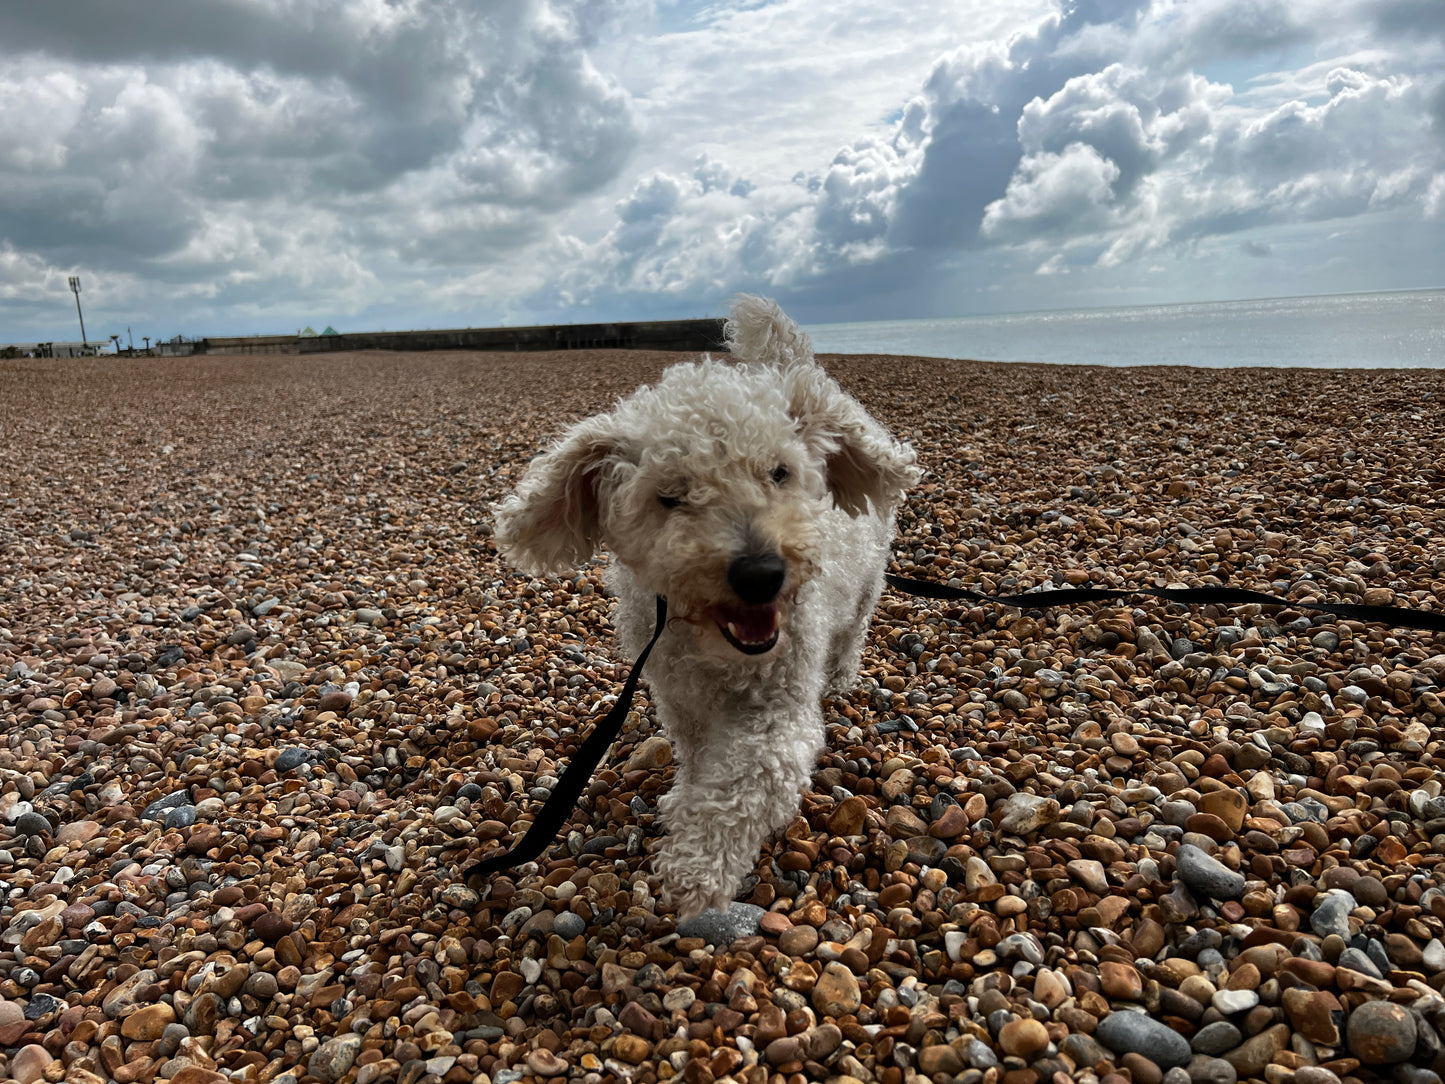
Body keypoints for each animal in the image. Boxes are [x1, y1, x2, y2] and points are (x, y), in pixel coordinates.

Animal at [494, 294, 913, 919]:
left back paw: (841, 676)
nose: (761, 574)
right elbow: (697, 762)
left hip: (865, 586)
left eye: (779, 472)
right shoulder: (680, 698)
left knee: (854, 629)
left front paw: (695, 869)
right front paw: (686, 801)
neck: (718, 653)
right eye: (670, 496)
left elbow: (742, 784)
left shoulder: (778, 713)